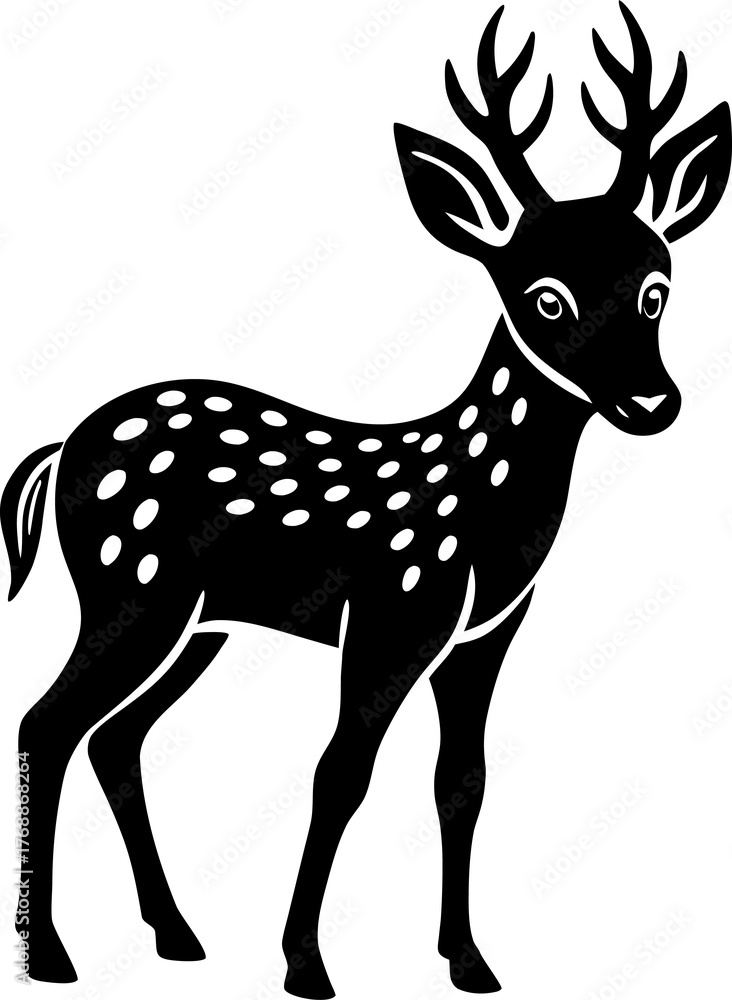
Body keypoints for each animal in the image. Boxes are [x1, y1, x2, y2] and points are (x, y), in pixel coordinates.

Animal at [4, 4, 730, 997]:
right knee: (48, 723)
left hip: (201, 621)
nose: (653, 402)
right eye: (545, 297)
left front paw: (470, 961)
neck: (486, 517)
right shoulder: (396, 612)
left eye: (657, 289)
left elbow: (462, 780)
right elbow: (341, 773)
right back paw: (51, 955)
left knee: (117, 737)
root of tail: (61, 449)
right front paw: (306, 966)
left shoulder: (486, 633)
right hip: (131, 590)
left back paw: (177, 935)